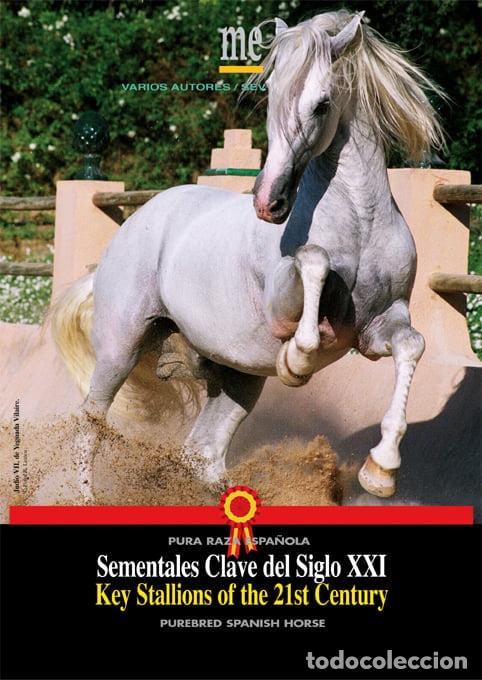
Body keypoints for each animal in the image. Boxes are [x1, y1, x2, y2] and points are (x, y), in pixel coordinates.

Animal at [52, 10, 445, 503]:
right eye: (271, 93)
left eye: (322, 104)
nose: (268, 201)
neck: (361, 223)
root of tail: (136, 222)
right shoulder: (282, 301)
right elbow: (314, 262)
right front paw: (296, 360)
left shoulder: (378, 328)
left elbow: (412, 345)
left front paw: (381, 471)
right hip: (119, 349)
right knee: (90, 422)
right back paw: (85, 497)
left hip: (237, 378)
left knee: (201, 452)